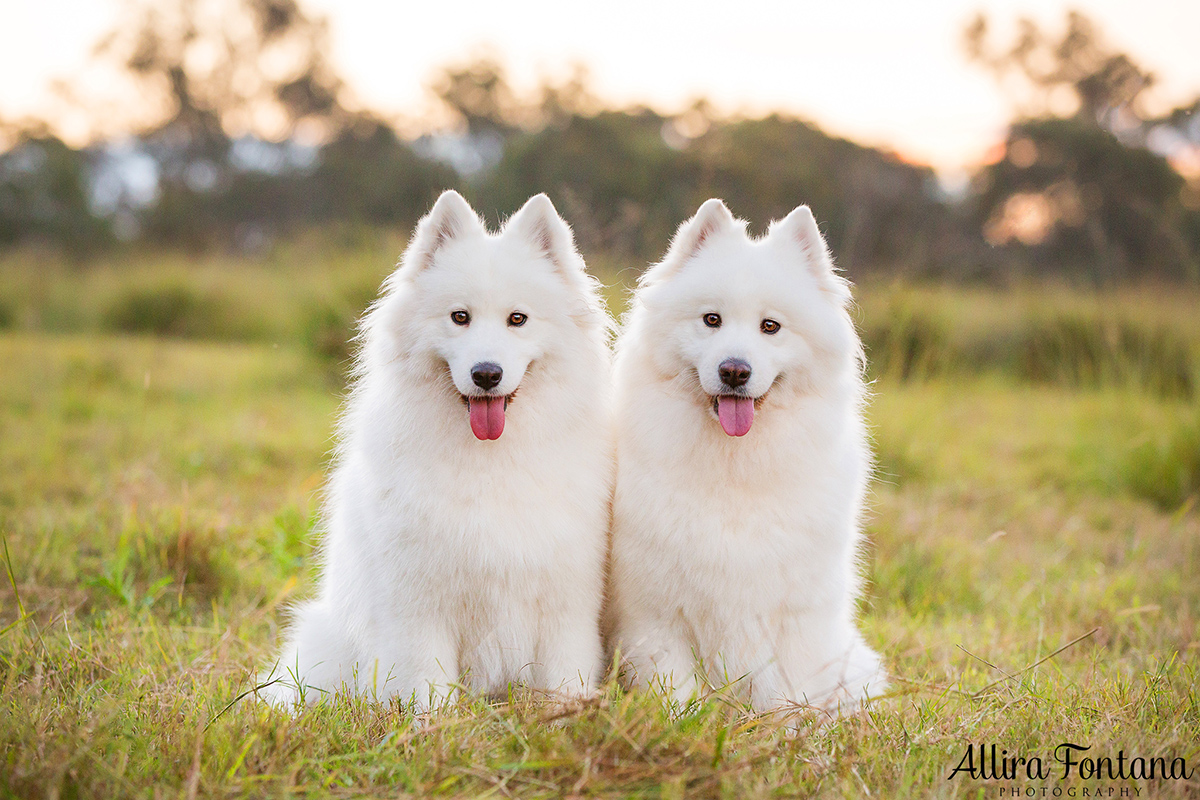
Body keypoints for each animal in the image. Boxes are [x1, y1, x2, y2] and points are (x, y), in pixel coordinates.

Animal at [264, 190, 619, 710]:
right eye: (459, 317)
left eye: (518, 319)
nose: (486, 373)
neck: (490, 461)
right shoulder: (419, 606)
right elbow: (427, 686)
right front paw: (433, 723)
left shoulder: (565, 602)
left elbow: (563, 677)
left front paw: (566, 712)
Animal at [609, 196, 883, 714]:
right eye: (711, 320)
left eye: (770, 327)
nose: (734, 370)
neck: (733, 467)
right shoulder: (657, 615)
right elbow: (677, 692)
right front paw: (685, 723)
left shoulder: (791, 619)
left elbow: (784, 695)